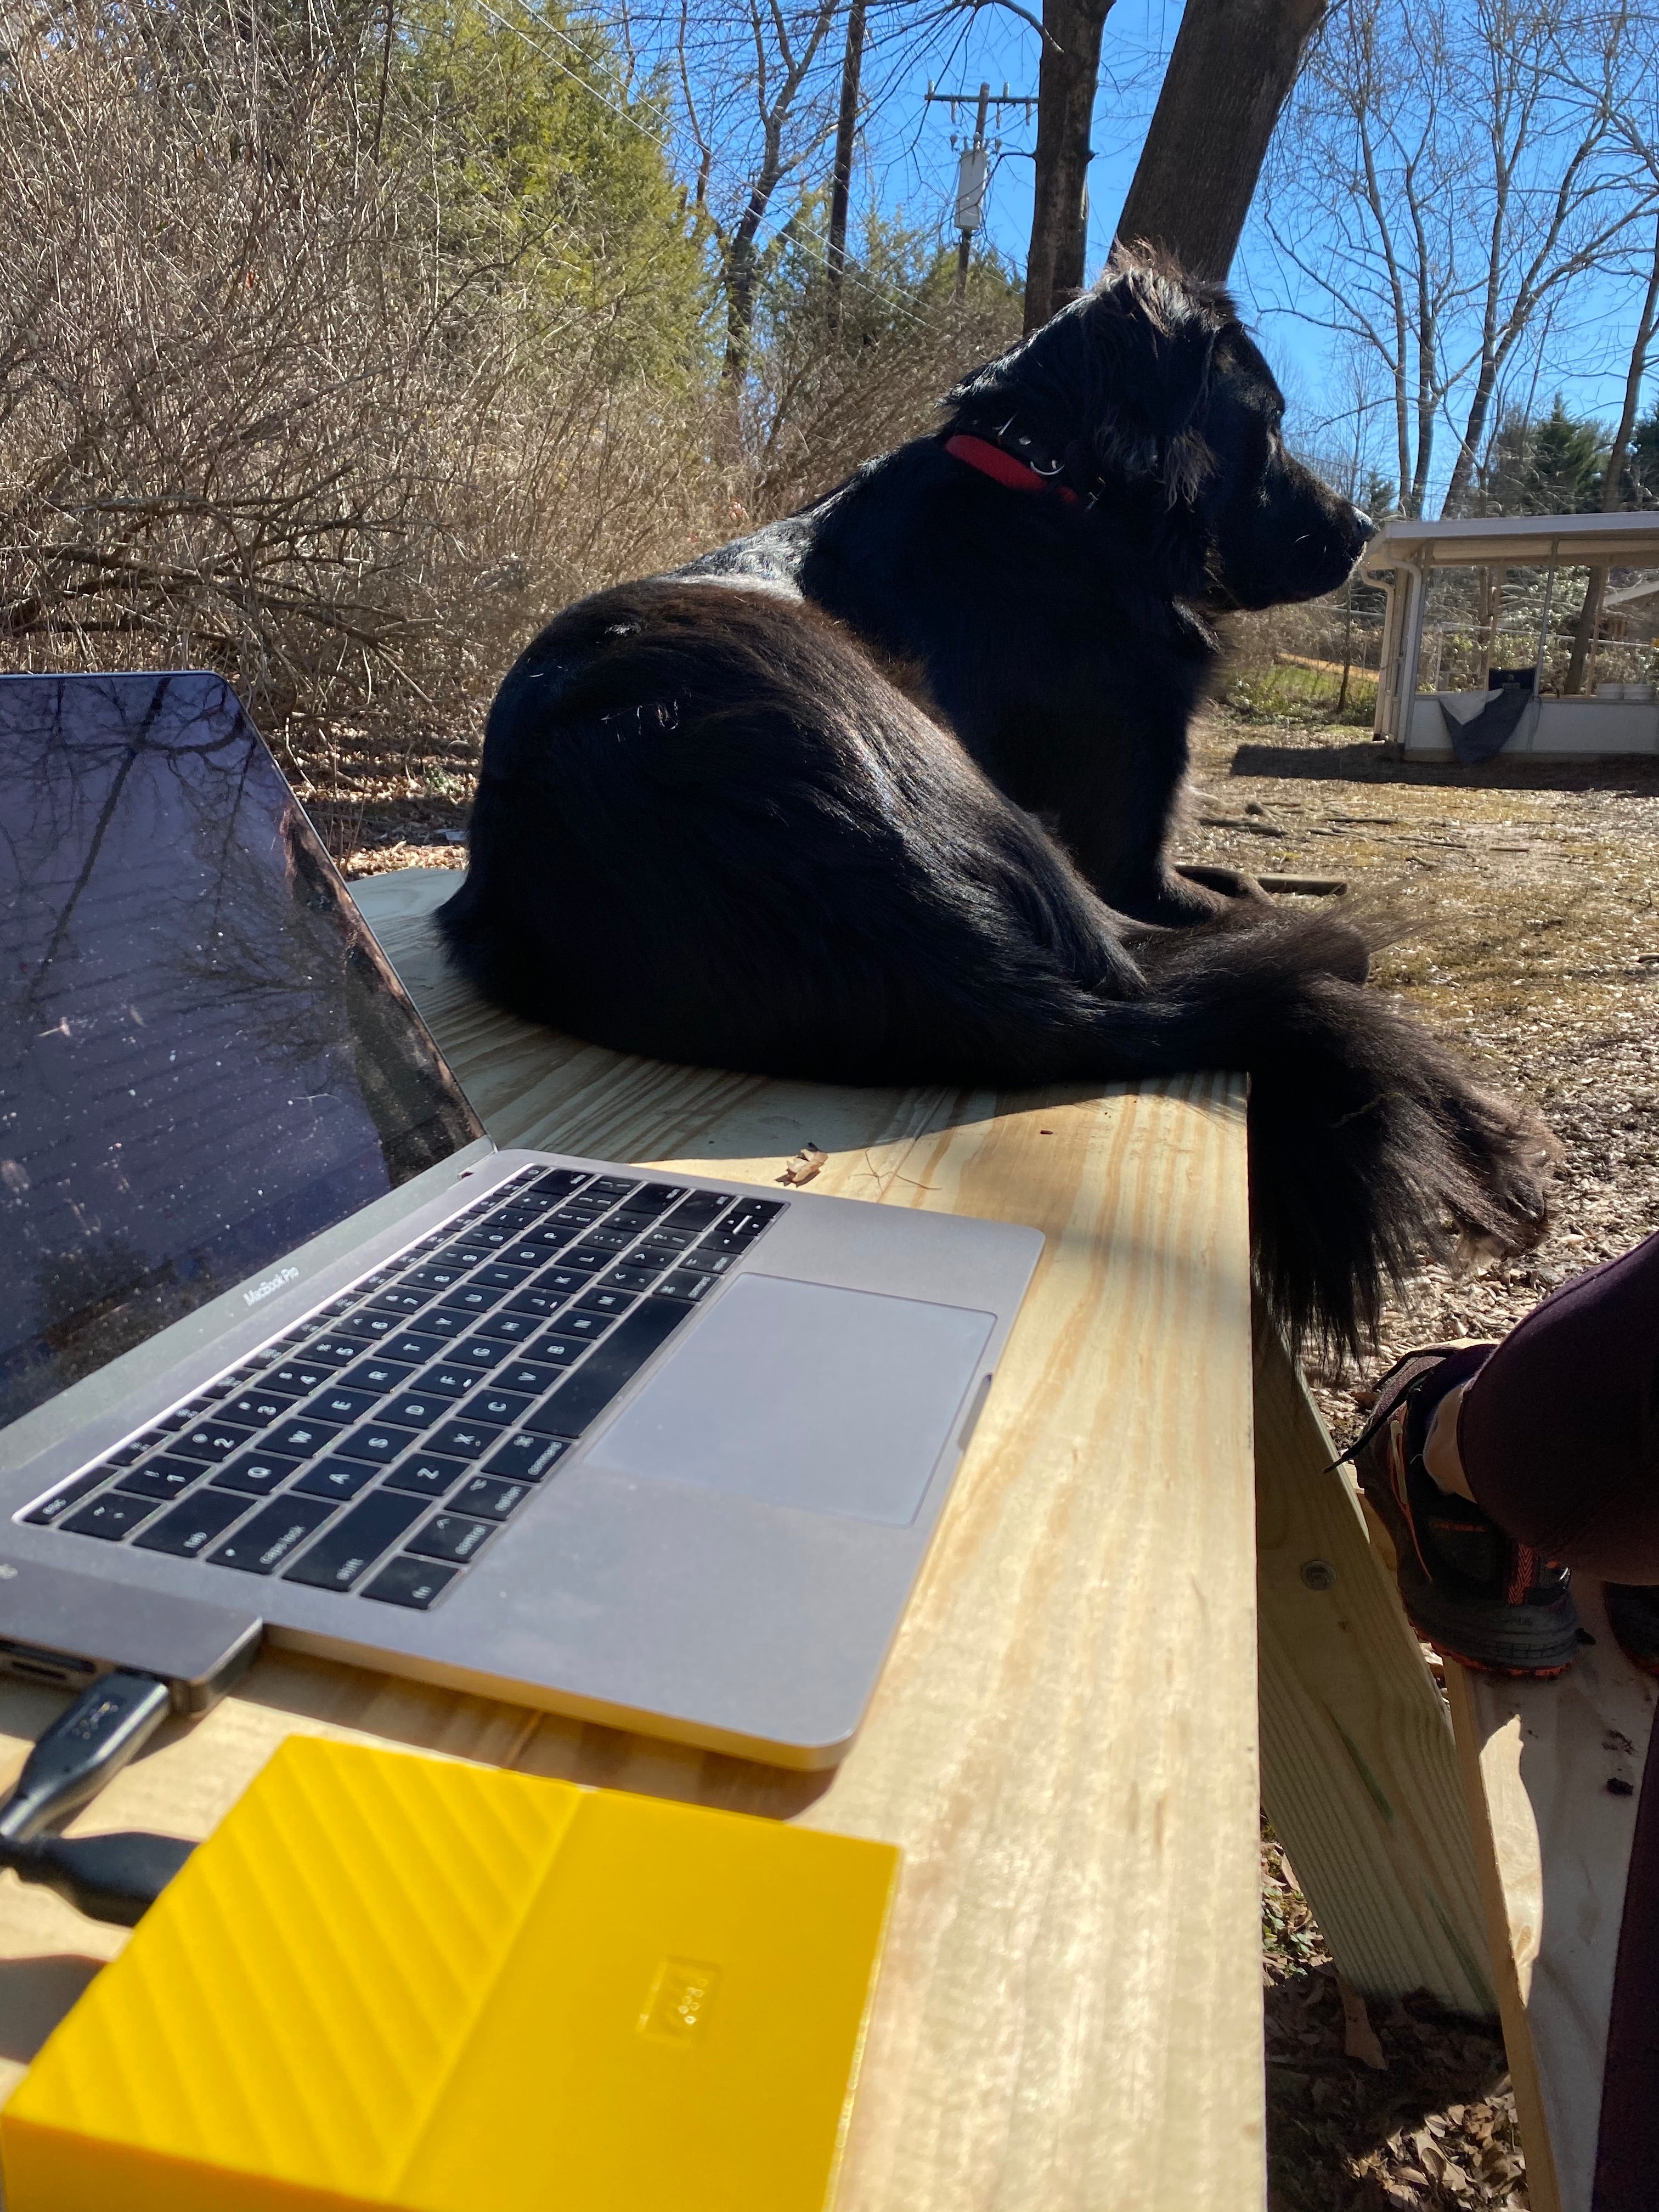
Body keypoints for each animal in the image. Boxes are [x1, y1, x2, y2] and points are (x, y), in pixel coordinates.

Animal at [438, 258, 1548, 1345]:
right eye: (1266, 422)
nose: (1363, 530)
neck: (1053, 491)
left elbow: (1244, 878)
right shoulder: (1130, 858)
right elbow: (1255, 901)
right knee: (1307, 959)